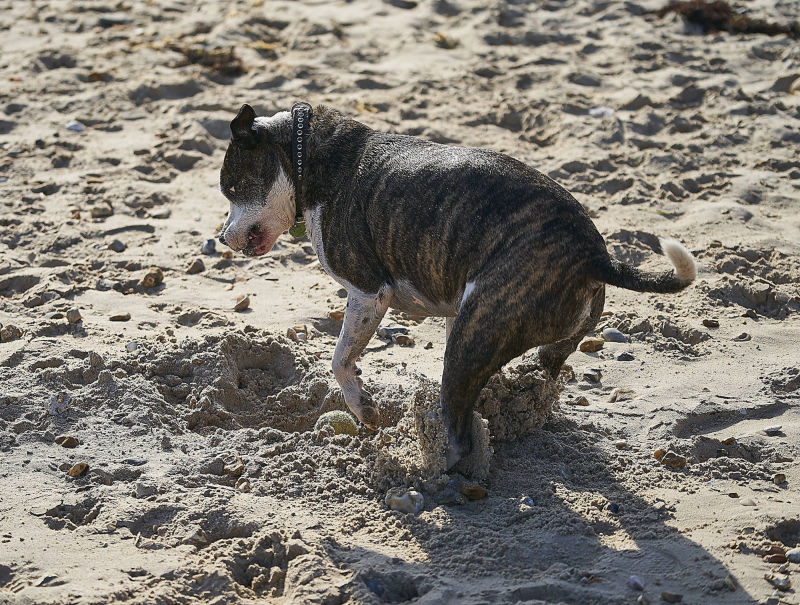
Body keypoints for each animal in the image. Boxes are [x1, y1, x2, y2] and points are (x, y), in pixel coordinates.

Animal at [217, 102, 692, 468]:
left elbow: (340, 360)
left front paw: (363, 408)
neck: (306, 155)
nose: (222, 237)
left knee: (459, 428)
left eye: (233, 188)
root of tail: (594, 256)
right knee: (542, 377)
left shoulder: (369, 293)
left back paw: (437, 473)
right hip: (517, 339)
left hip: (471, 340)